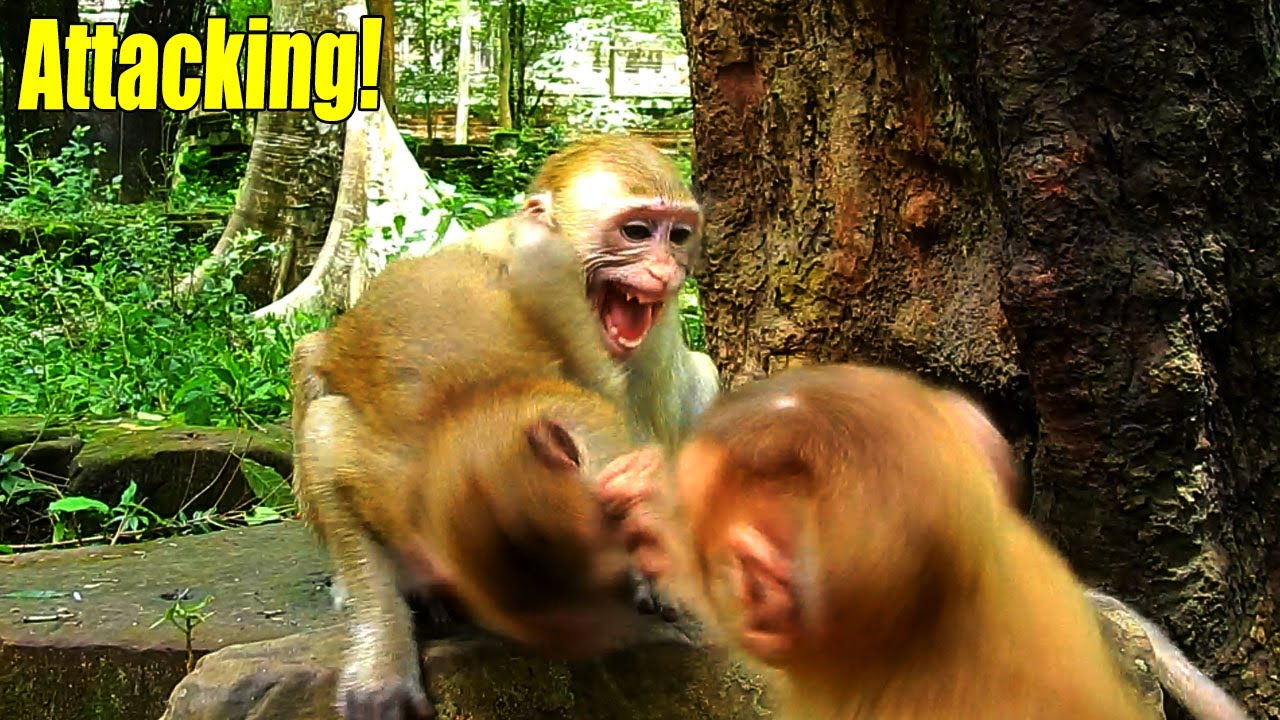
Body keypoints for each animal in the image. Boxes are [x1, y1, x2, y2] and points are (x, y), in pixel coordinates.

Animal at [292, 217, 663, 720]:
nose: (591, 646)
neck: (481, 404)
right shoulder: (384, 477)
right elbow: (323, 436)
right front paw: (383, 664)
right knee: (310, 360)